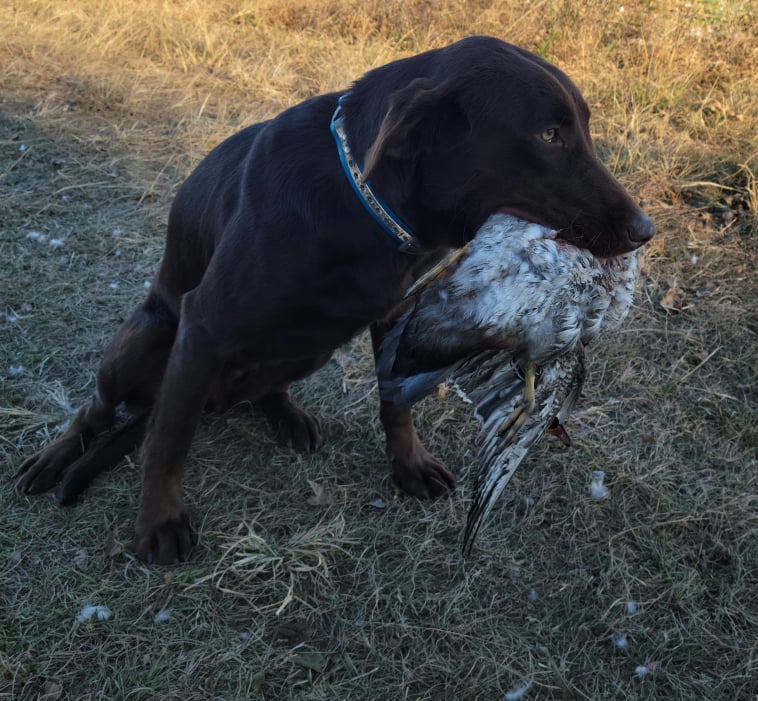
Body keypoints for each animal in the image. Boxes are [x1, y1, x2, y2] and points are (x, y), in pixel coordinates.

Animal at [19, 37, 660, 564]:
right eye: (549, 135)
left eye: (582, 128)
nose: (645, 231)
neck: (365, 207)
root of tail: (217, 401)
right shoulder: (202, 326)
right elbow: (169, 440)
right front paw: (159, 519)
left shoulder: (397, 316)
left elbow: (396, 403)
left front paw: (408, 465)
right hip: (146, 340)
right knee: (106, 410)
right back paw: (56, 455)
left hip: (307, 351)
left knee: (258, 390)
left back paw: (286, 414)